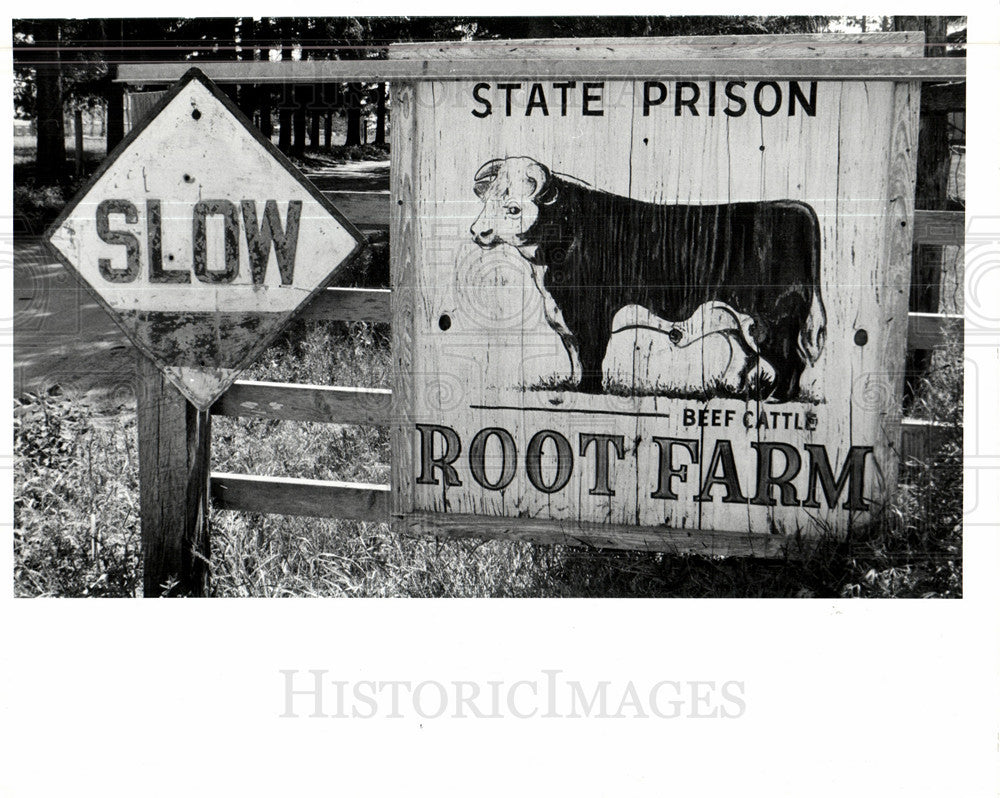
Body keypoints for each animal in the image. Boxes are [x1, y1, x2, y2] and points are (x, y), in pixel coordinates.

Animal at [468, 154, 828, 404]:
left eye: (513, 208)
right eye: (487, 200)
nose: (477, 232)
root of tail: (795, 208)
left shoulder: (591, 318)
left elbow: (590, 358)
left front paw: (588, 392)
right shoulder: (564, 319)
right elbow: (574, 358)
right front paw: (571, 387)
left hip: (772, 320)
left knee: (790, 360)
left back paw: (776, 398)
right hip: (736, 318)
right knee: (745, 354)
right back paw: (730, 387)